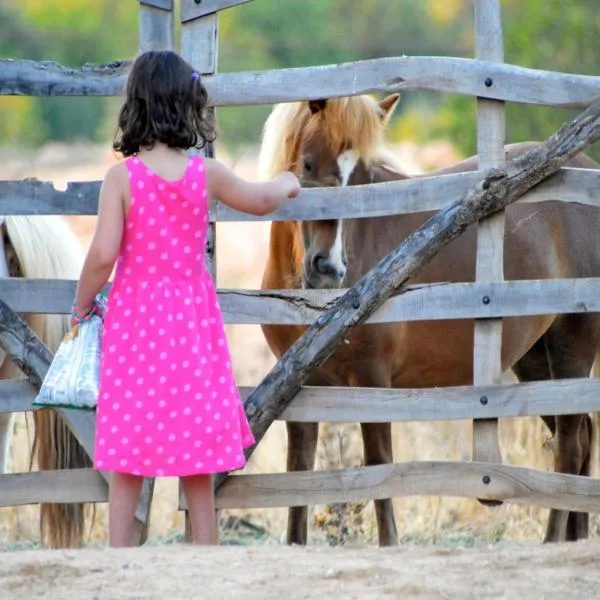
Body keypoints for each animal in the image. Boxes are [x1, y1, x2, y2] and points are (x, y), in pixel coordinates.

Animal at [260, 91, 600, 548]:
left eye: (364, 178)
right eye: (309, 164)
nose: (329, 269)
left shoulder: (372, 380)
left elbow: (378, 465)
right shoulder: (297, 389)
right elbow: (298, 470)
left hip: (572, 346)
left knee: (569, 444)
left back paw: (552, 540)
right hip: (533, 360)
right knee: (582, 436)